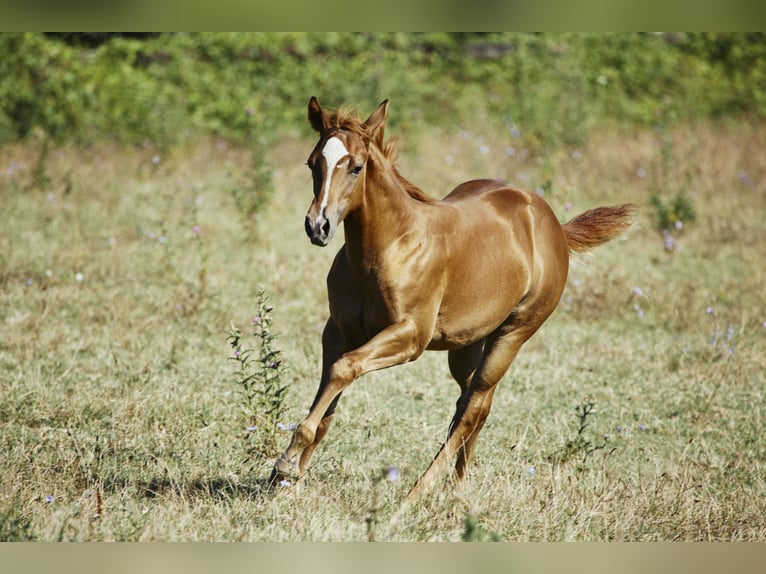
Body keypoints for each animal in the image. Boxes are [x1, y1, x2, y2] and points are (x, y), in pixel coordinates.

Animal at [270, 97, 636, 502]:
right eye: (312, 163)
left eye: (356, 167)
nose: (318, 227)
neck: (386, 248)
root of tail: (554, 225)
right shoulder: (338, 332)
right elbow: (331, 397)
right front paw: (290, 475)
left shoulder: (411, 337)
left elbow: (343, 370)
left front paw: (285, 463)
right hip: (467, 343)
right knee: (473, 403)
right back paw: (457, 483)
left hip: (513, 332)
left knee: (473, 407)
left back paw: (419, 490)